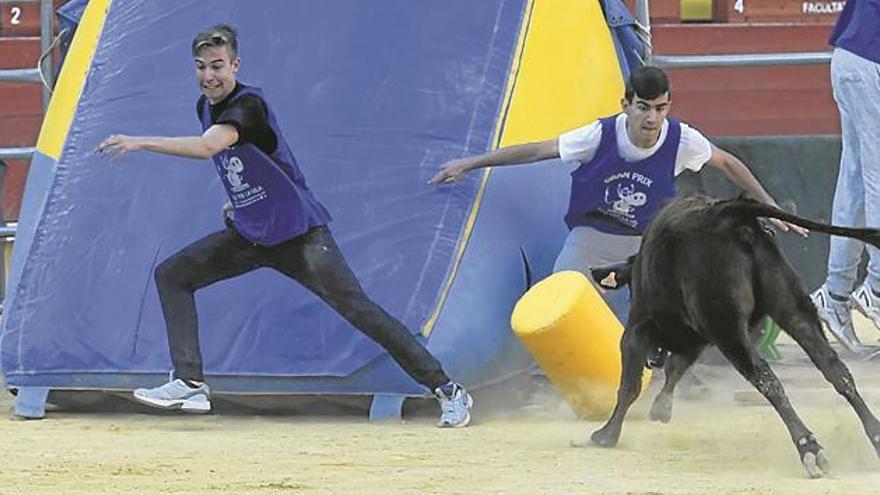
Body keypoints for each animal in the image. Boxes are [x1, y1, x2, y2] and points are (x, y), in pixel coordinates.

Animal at [584, 196, 880, 478]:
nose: (655, 358)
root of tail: (729, 214)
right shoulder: (696, 337)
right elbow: (676, 368)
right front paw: (661, 408)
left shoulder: (637, 329)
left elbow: (630, 385)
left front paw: (606, 435)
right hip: (791, 305)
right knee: (834, 368)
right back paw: (874, 436)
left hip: (725, 325)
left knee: (765, 377)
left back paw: (809, 448)